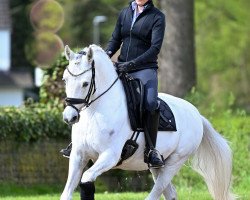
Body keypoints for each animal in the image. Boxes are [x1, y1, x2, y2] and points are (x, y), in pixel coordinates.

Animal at [60, 44, 234, 200]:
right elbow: (67, 193)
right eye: (65, 80)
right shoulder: (78, 155)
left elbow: (86, 178)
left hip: (175, 161)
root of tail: (196, 114)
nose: (69, 117)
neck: (95, 112)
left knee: (156, 193)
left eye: (85, 83)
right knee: (170, 193)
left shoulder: (110, 155)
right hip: (158, 165)